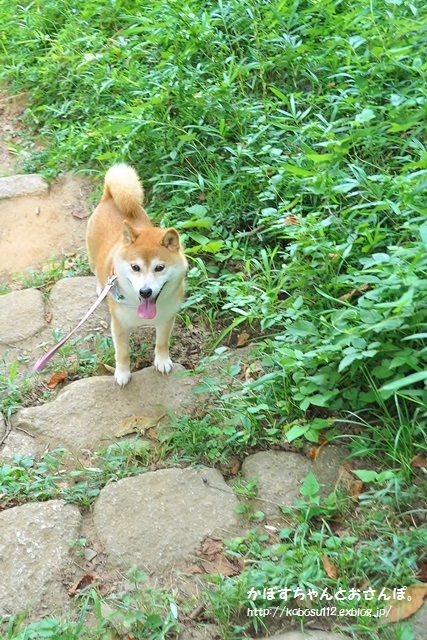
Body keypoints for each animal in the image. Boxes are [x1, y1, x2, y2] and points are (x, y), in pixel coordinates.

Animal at [86, 162, 188, 388]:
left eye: (159, 268)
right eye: (135, 267)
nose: (145, 291)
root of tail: (109, 197)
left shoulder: (167, 318)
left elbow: (162, 343)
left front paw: (162, 361)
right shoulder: (119, 325)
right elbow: (122, 353)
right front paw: (123, 373)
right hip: (93, 259)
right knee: (96, 272)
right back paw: (99, 287)